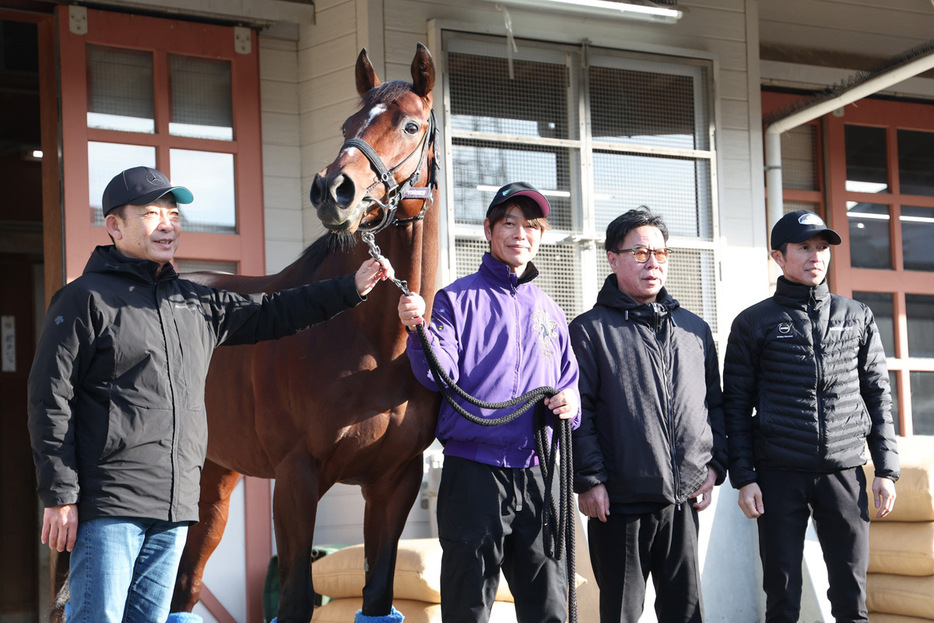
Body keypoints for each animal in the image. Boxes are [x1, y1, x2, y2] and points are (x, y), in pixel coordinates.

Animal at [170, 45, 440, 623]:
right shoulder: (296, 478)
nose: (333, 191)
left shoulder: (394, 482)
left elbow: (378, 595)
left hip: (213, 477)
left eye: (410, 125)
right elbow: (295, 599)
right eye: (347, 124)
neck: (377, 345)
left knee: (186, 582)